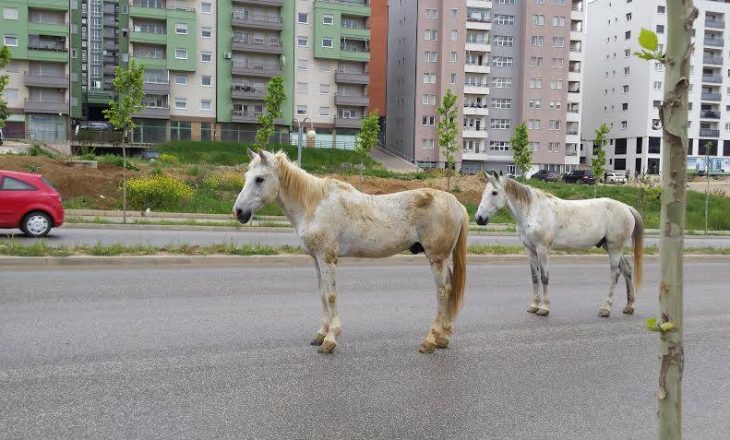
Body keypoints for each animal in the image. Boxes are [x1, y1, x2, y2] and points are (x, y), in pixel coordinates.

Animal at [236, 150, 470, 354]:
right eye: (247, 176)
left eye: (259, 179)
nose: (238, 211)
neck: (315, 205)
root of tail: (456, 202)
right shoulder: (317, 260)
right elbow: (322, 295)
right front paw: (321, 334)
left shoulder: (328, 258)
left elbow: (330, 296)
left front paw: (330, 340)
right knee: (449, 290)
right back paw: (443, 338)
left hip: (437, 258)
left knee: (443, 292)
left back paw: (430, 341)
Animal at [474, 174, 640, 318]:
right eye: (484, 192)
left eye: (494, 192)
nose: (479, 218)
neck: (534, 211)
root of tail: (627, 208)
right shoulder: (531, 251)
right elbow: (535, 278)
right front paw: (534, 306)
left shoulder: (542, 250)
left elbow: (544, 277)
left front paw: (544, 308)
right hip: (610, 247)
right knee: (626, 270)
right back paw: (629, 306)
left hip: (614, 248)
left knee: (615, 274)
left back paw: (606, 308)